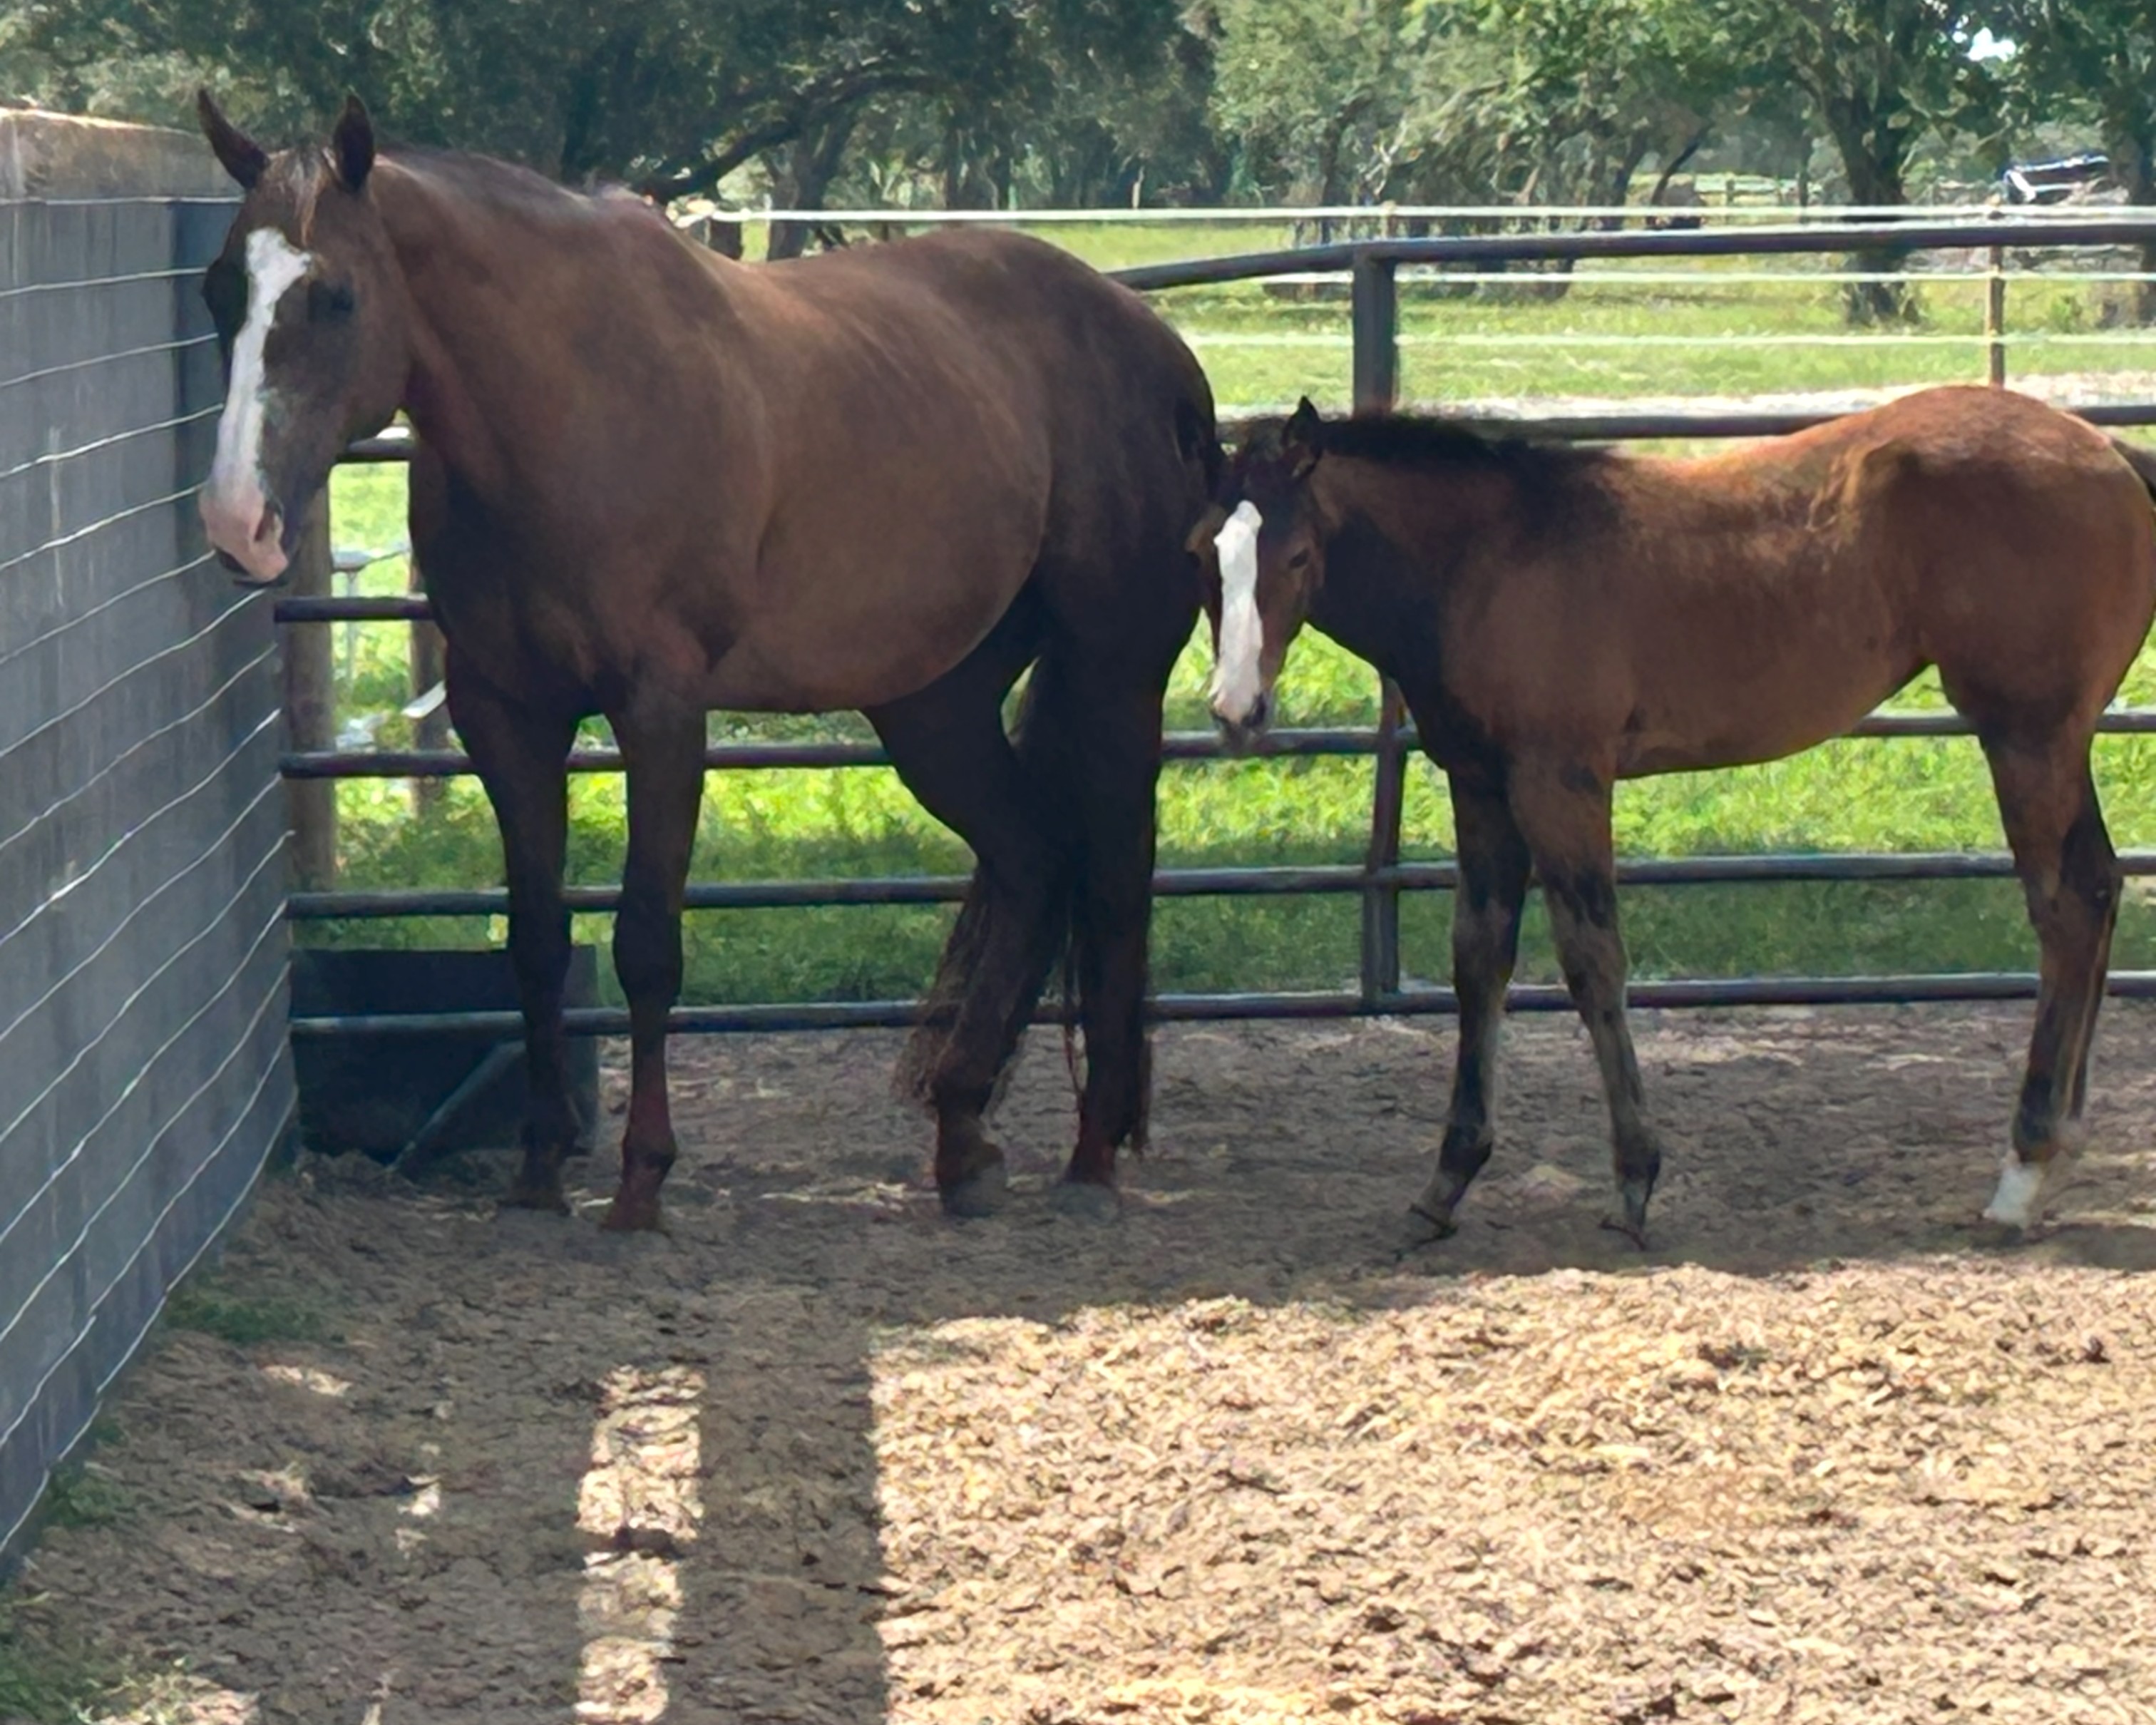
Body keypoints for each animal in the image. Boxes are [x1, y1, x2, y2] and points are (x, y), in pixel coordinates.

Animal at [194, 93, 1218, 1230]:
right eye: (219, 290)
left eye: (333, 295)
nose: (238, 522)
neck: (571, 402)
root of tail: (1153, 344)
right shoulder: (504, 714)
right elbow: (534, 941)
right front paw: (539, 1167)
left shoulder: (661, 711)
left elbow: (647, 940)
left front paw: (642, 1178)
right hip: (933, 710)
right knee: (1035, 864)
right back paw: (961, 1137)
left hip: (1113, 677)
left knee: (1114, 885)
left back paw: (1092, 1155)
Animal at [1201, 388, 2156, 1244]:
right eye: (1205, 557)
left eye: (1297, 554)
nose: (1237, 710)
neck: (1488, 559)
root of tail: (2110, 452)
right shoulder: (1482, 787)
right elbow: (1479, 959)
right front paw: (1446, 1182)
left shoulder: (1561, 780)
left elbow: (1593, 961)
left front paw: (1633, 1183)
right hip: (2056, 742)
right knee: (2099, 889)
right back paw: (2061, 1149)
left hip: (2026, 737)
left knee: (2064, 909)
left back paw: (2022, 1175)